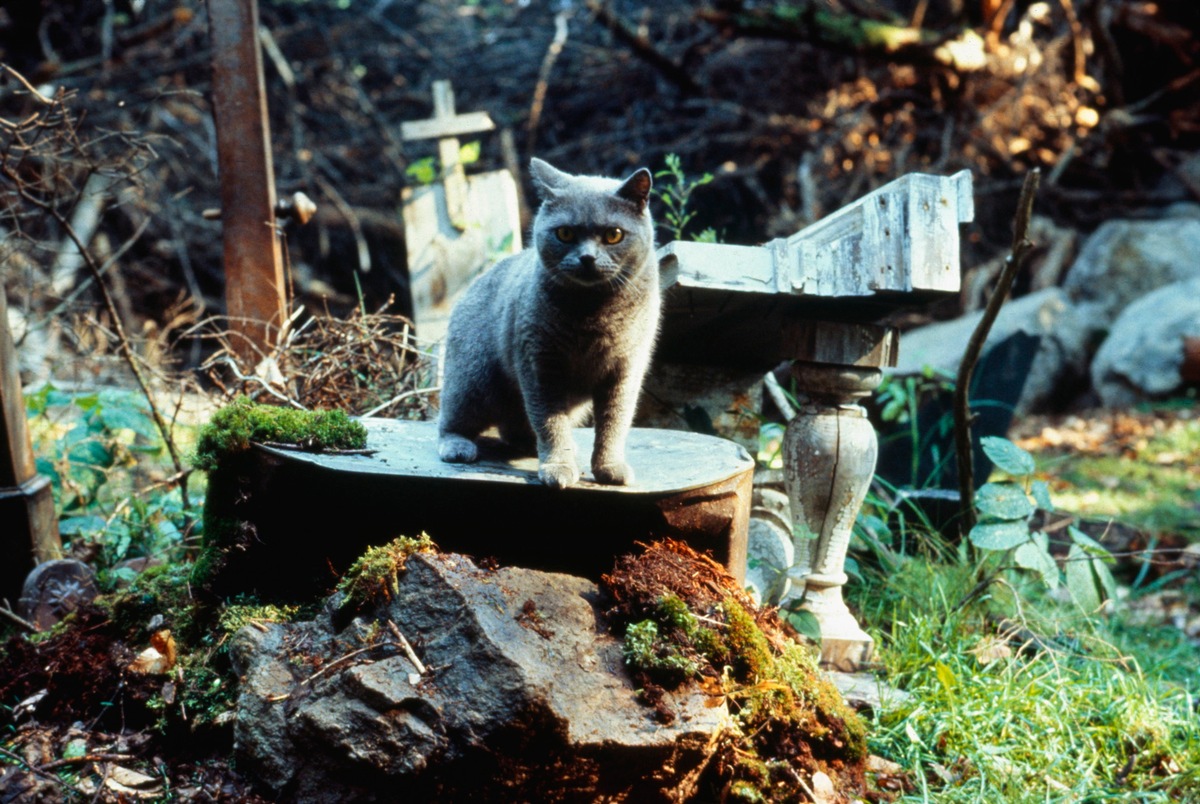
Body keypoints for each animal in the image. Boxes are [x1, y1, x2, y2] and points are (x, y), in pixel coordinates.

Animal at [436, 154, 657, 487]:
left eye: (613, 235)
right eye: (564, 233)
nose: (587, 258)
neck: (592, 314)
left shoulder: (626, 369)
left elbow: (614, 422)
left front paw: (610, 468)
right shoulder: (539, 364)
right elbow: (550, 422)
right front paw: (558, 467)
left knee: (514, 429)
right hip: (473, 379)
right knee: (451, 419)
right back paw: (458, 446)